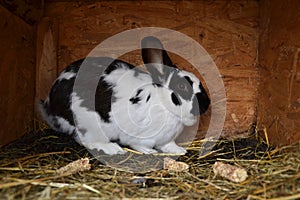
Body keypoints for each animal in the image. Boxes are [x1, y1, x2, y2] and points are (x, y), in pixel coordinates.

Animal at [38, 36, 210, 155]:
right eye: (182, 86)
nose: (207, 103)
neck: (164, 106)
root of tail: (50, 101)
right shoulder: (135, 135)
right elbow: (137, 144)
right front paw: (149, 151)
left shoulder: (166, 139)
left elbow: (168, 145)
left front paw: (179, 150)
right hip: (88, 124)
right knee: (85, 140)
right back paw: (111, 148)